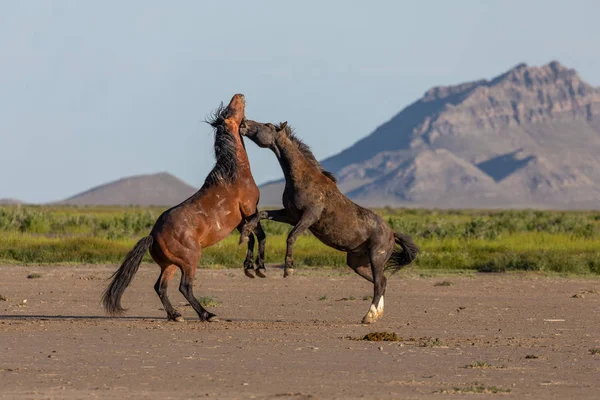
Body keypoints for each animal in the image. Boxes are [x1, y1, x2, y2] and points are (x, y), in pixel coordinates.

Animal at [102, 94, 266, 322]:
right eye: (229, 110)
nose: (239, 95)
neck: (235, 173)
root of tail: (153, 235)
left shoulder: (242, 220)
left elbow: (250, 238)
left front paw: (250, 267)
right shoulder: (250, 209)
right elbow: (259, 234)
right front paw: (260, 268)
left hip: (170, 264)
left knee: (160, 287)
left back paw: (175, 315)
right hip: (190, 259)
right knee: (184, 287)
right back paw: (207, 314)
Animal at [238, 120, 418, 324]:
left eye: (267, 125)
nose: (244, 123)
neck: (302, 178)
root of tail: (392, 234)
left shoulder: (309, 216)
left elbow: (291, 237)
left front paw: (288, 269)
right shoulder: (290, 215)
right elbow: (261, 214)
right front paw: (245, 236)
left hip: (376, 258)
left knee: (379, 283)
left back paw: (369, 316)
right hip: (357, 263)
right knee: (384, 281)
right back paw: (375, 315)